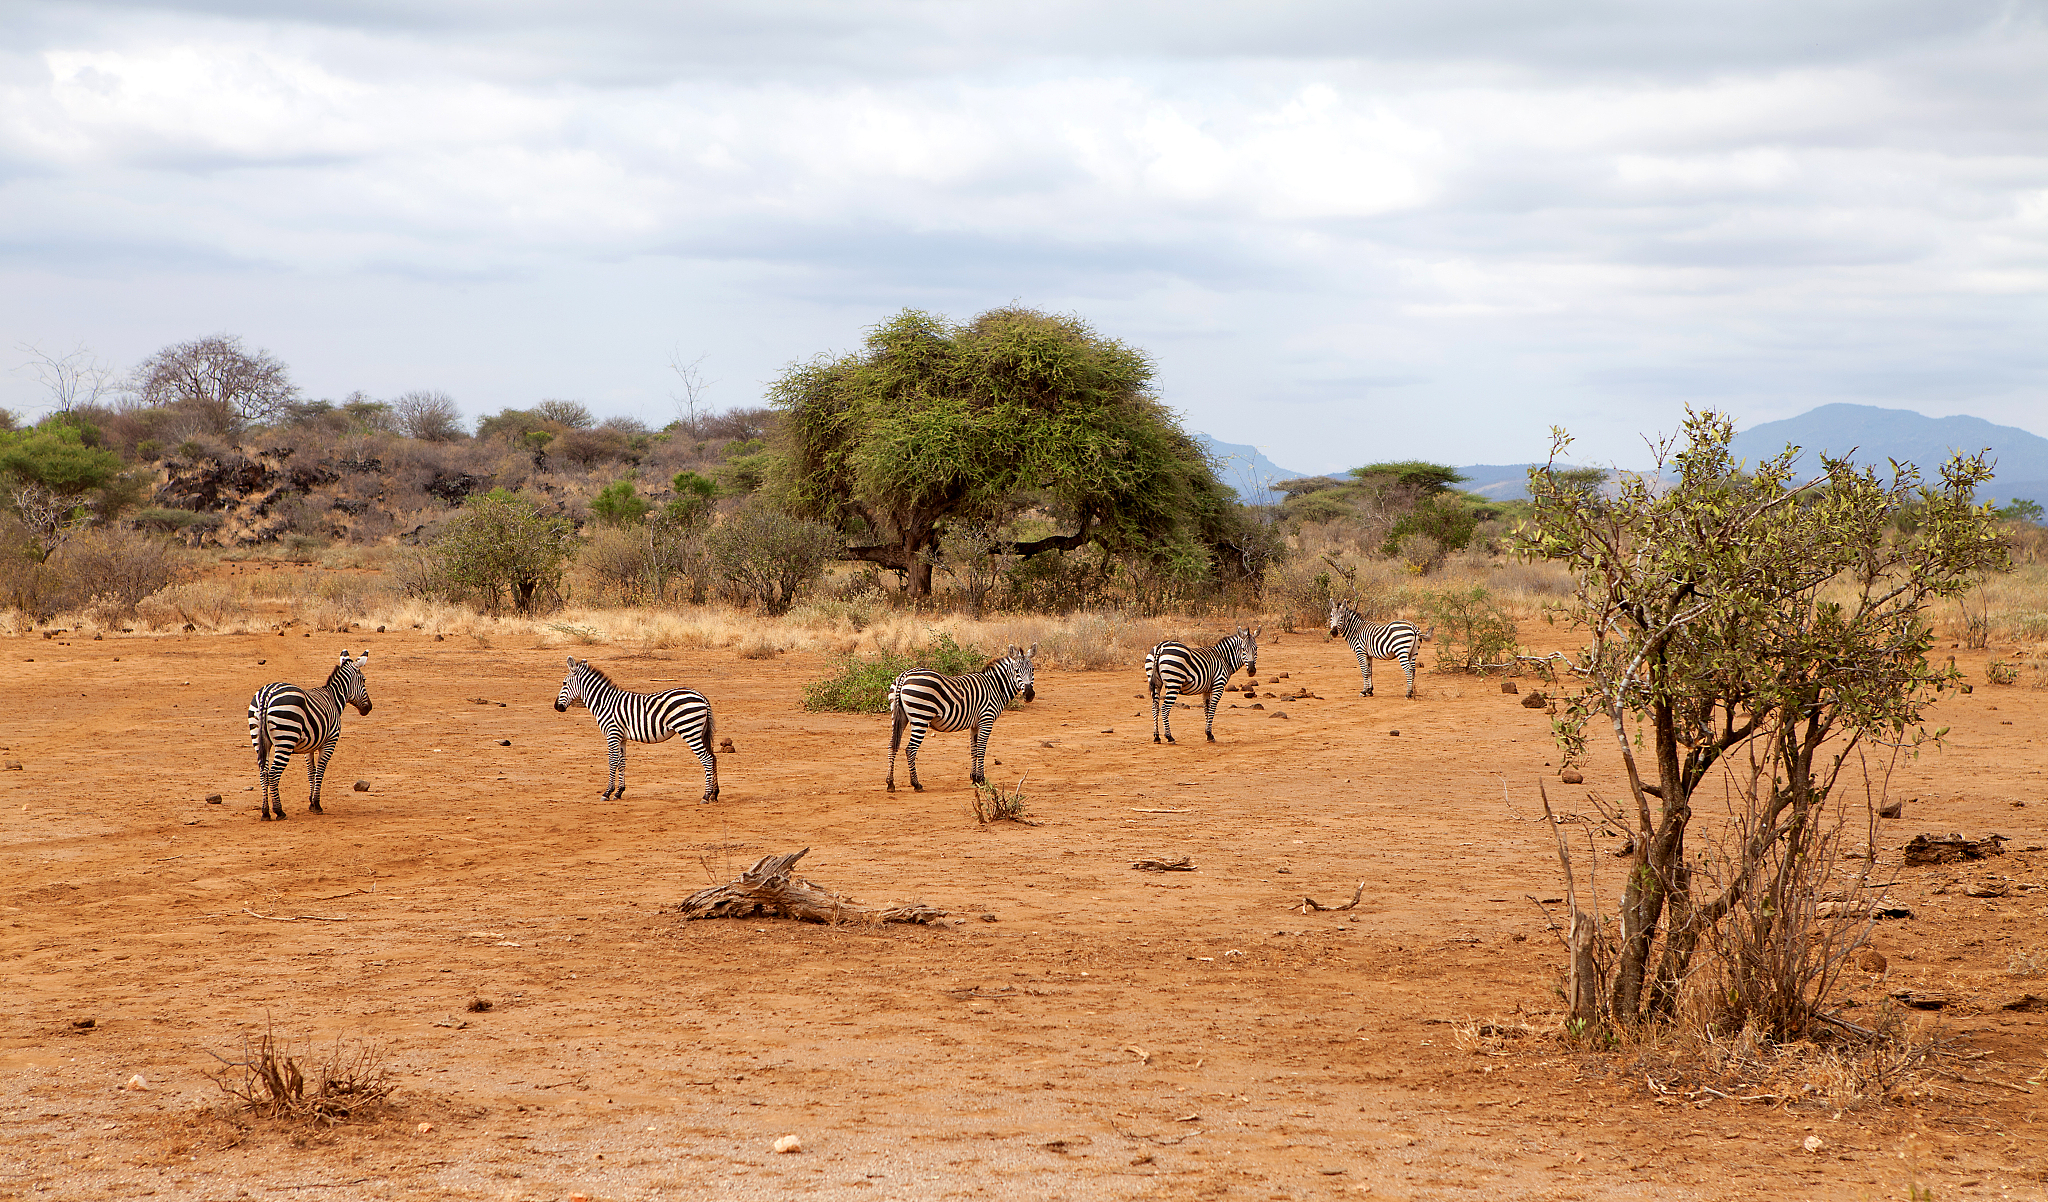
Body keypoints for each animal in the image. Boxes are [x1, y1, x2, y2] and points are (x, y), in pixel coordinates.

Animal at [247, 650, 373, 822]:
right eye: (364, 680)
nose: (369, 708)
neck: (333, 698)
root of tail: (266, 694)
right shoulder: (330, 741)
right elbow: (320, 771)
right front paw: (317, 804)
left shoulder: (310, 746)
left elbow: (311, 772)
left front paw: (311, 803)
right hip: (286, 738)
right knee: (273, 773)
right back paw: (279, 811)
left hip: (259, 739)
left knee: (263, 772)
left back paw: (265, 812)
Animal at [554, 657, 720, 803]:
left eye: (564, 683)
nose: (556, 707)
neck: (605, 703)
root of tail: (701, 696)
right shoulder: (621, 738)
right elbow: (622, 762)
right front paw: (619, 792)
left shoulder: (612, 734)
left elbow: (612, 761)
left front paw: (607, 793)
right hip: (699, 731)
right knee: (713, 757)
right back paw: (714, 794)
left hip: (689, 730)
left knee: (707, 758)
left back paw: (705, 796)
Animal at [887, 643, 1036, 793]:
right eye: (1016, 671)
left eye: (1033, 670)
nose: (1029, 695)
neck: (995, 687)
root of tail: (905, 675)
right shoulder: (986, 720)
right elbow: (981, 750)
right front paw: (981, 780)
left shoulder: (975, 724)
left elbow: (974, 750)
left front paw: (974, 778)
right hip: (921, 717)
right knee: (910, 749)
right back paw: (916, 784)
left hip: (899, 716)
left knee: (892, 746)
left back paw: (890, 783)